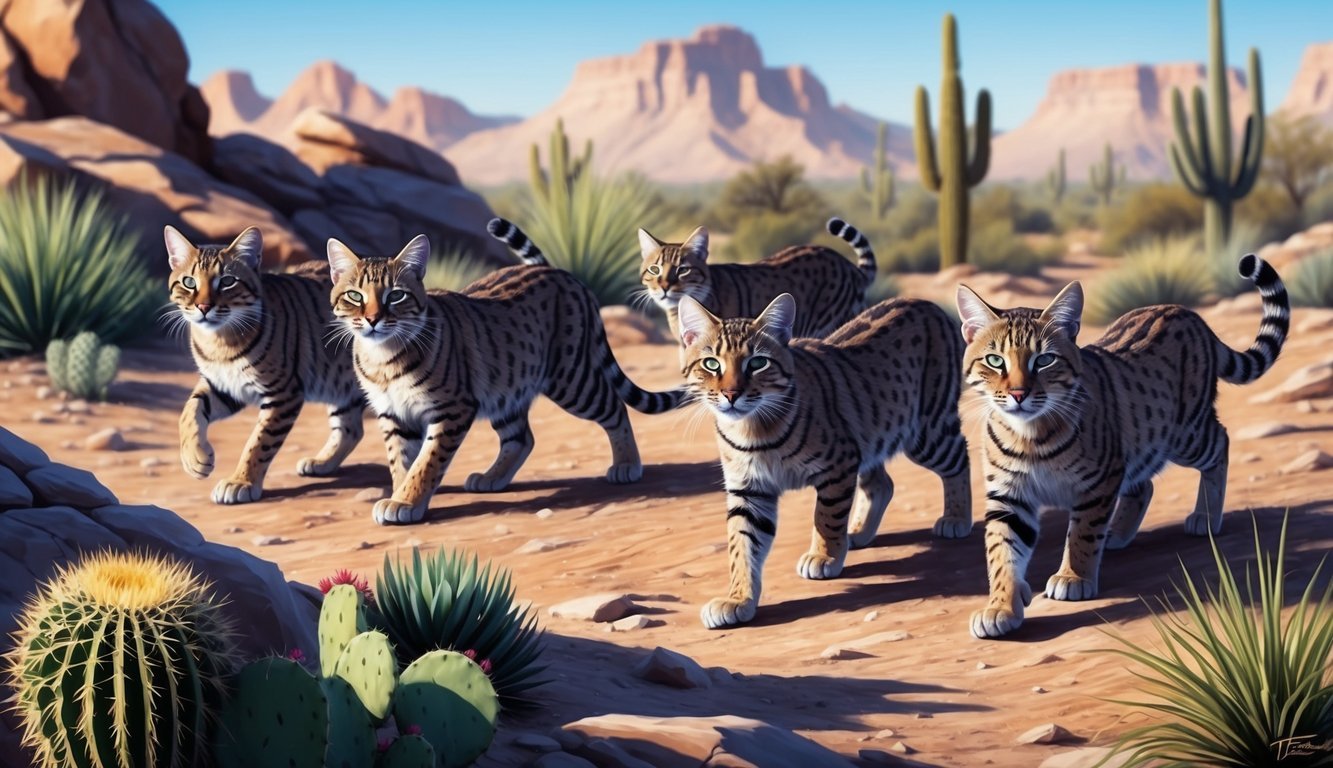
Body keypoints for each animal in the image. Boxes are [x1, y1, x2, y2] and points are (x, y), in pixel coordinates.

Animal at [163, 225, 367, 506]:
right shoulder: (223, 385)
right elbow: (189, 411)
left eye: (227, 281)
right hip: (341, 385)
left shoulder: (283, 393)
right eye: (189, 282)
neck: (219, 340)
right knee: (352, 428)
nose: (203, 307)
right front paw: (195, 458)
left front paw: (241, 482)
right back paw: (322, 462)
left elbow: (259, 443)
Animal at [327, 218, 687, 525]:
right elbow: (401, 461)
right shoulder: (393, 413)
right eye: (354, 296)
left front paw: (406, 500)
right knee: (521, 436)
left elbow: (427, 462)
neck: (383, 356)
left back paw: (626, 464)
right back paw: (493, 477)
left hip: (570, 379)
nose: (373, 320)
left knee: (614, 407)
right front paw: (402, 495)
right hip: (505, 385)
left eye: (396, 295)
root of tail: (556, 270)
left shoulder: (453, 408)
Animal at [677, 290, 970, 626]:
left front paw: (824, 556)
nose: (731, 395)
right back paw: (858, 532)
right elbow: (741, 545)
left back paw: (957, 518)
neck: (751, 427)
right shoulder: (748, 489)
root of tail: (923, 301)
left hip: (927, 431)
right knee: (882, 483)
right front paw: (739, 598)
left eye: (758, 363)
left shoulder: (838, 466)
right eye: (711, 364)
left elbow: (826, 517)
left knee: (960, 455)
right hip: (874, 437)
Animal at [959, 254, 1290, 640]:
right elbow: (1002, 553)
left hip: (1184, 434)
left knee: (1221, 440)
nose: (1018, 394)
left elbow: (1083, 532)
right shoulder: (1009, 494)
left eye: (1044, 360)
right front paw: (1000, 606)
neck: (1028, 433)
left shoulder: (1097, 481)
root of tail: (1184, 310)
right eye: (995, 361)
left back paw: (1206, 516)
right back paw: (1117, 533)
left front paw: (1074, 576)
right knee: (1143, 484)